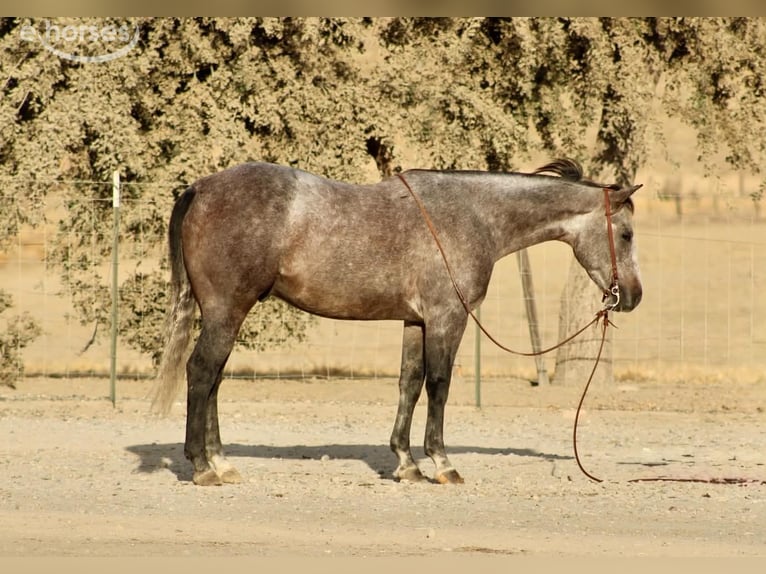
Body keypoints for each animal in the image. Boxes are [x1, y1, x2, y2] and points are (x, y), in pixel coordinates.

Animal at [150, 158, 643, 486]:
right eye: (627, 234)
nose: (634, 296)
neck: (472, 215)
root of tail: (201, 188)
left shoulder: (415, 322)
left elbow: (409, 383)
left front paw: (407, 465)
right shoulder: (447, 319)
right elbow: (439, 385)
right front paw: (442, 464)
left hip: (227, 314)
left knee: (213, 379)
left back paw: (222, 462)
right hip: (227, 311)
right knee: (201, 373)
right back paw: (202, 467)